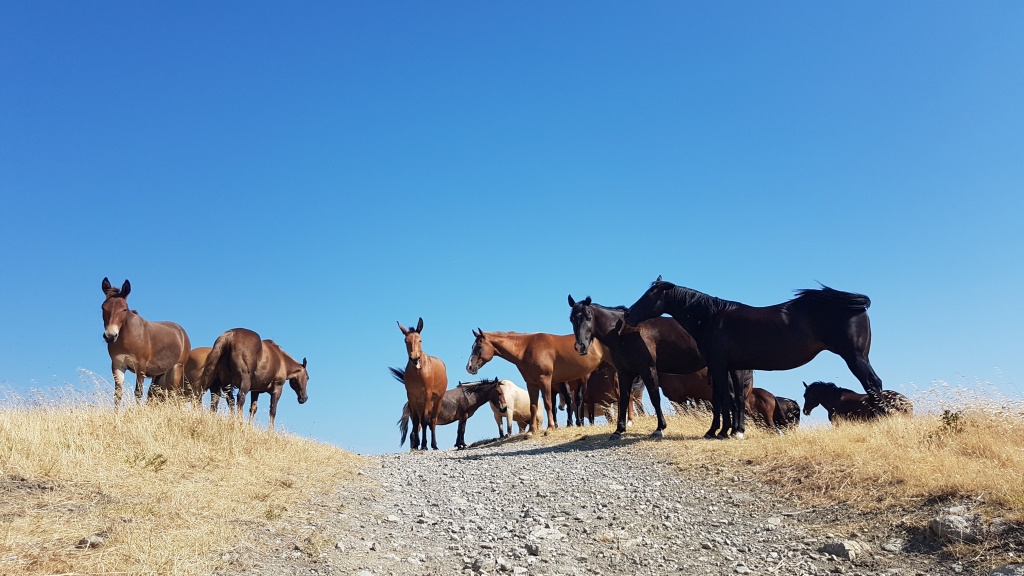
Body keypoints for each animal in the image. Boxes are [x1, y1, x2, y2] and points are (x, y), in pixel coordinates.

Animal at [100, 278, 191, 409]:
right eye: (103, 308)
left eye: (124, 309)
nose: (110, 335)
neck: (127, 338)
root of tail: (181, 331)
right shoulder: (117, 366)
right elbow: (117, 395)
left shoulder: (141, 367)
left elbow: (138, 393)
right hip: (159, 373)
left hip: (177, 367)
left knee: (173, 393)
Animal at [398, 318, 448, 450]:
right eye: (406, 341)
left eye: (420, 340)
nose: (414, 358)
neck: (417, 373)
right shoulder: (411, 397)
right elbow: (416, 421)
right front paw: (416, 444)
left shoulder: (427, 395)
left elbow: (425, 420)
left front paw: (424, 445)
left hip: (437, 401)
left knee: (433, 421)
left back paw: (434, 444)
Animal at [467, 329, 605, 436]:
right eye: (472, 346)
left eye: (479, 346)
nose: (469, 367)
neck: (526, 349)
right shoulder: (531, 384)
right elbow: (533, 406)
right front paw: (531, 431)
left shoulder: (545, 381)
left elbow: (548, 404)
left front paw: (550, 428)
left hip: (582, 381)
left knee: (578, 400)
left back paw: (579, 423)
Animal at [570, 295, 739, 439]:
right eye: (571, 319)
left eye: (589, 317)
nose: (580, 346)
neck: (625, 331)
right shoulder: (624, 373)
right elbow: (623, 399)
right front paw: (619, 430)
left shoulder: (648, 369)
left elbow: (654, 397)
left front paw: (659, 428)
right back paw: (725, 430)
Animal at [625, 276, 884, 439]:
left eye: (650, 295)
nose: (628, 314)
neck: (712, 317)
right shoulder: (734, 367)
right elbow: (736, 398)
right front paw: (735, 431)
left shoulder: (718, 365)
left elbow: (721, 398)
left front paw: (717, 431)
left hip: (855, 357)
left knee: (873, 384)